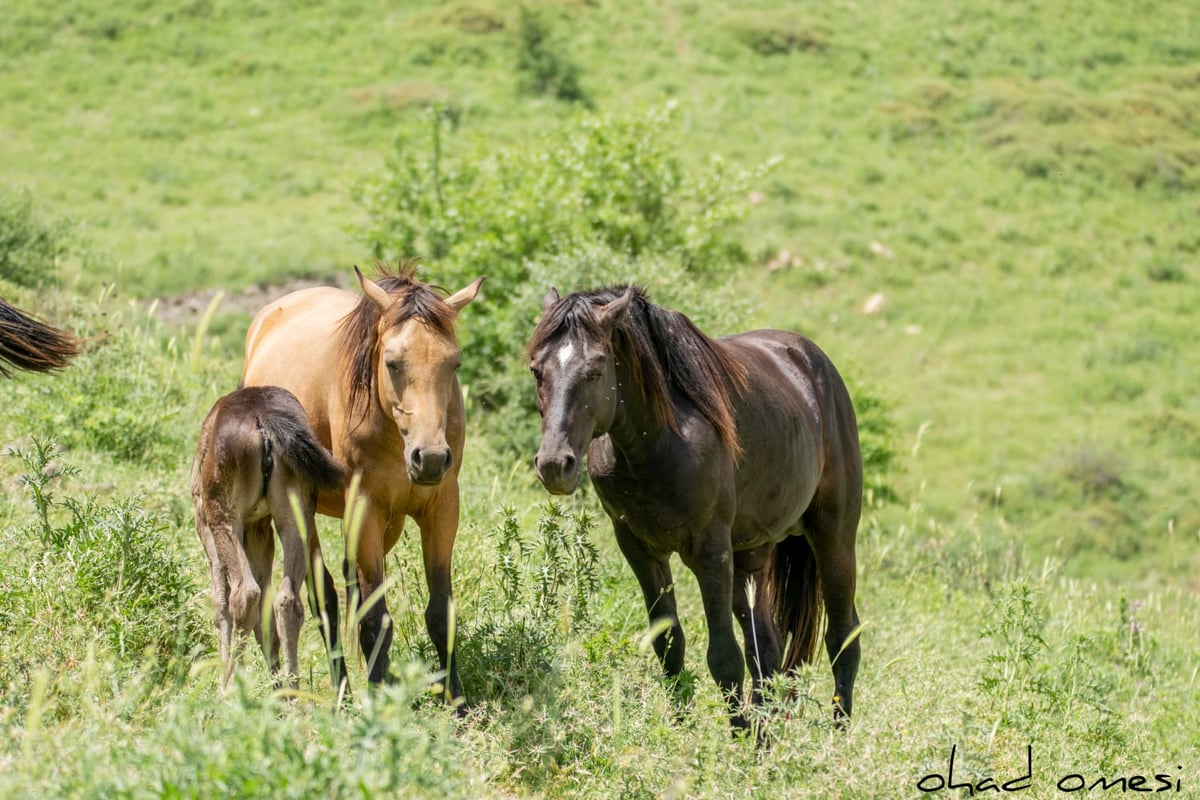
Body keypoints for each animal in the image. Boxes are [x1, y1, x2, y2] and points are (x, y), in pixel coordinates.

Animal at [238, 260, 482, 705]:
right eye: (392, 363)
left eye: (453, 364)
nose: (430, 458)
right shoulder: (365, 508)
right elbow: (373, 616)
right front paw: (379, 697)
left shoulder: (441, 508)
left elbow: (441, 611)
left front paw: (456, 703)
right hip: (305, 513)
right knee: (326, 599)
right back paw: (343, 693)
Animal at [528, 286, 864, 734]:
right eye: (537, 370)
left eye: (596, 370)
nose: (554, 464)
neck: (656, 443)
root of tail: (813, 363)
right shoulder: (639, 548)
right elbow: (671, 645)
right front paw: (684, 734)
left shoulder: (710, 551)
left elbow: (723, 656)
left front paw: (737, 740)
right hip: (751, 556)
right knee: (768, 649)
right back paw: (769, 737)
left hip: (833, 538)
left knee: (842, 637)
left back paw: (837, 736)